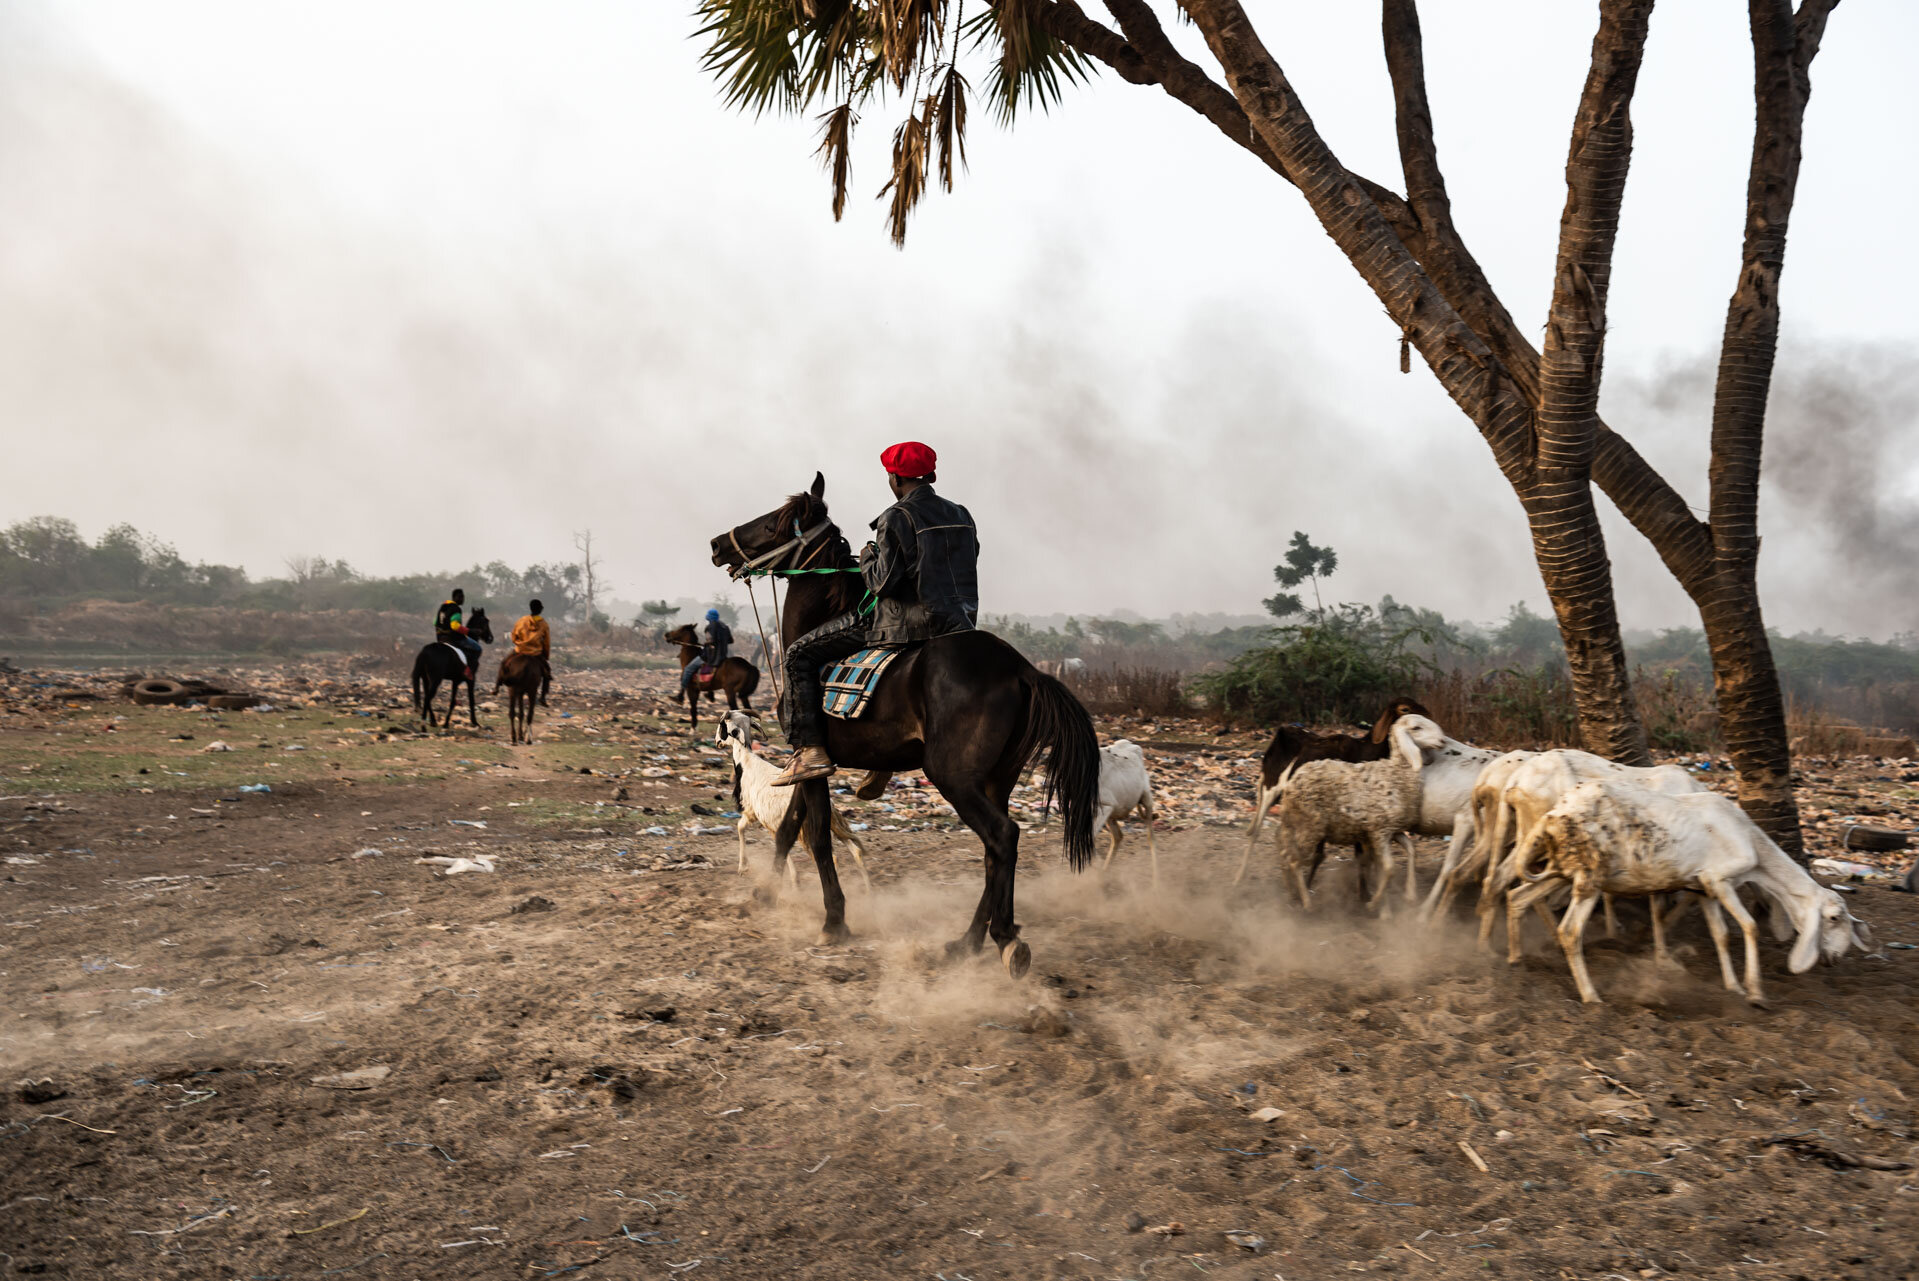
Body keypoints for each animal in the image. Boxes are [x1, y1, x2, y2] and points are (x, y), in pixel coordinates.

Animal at [717, 709, 875, 889]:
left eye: (722, 725)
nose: (717, 742)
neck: (746, 762)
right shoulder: (774, 824)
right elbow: (782, 846)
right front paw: (793, 881)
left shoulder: (751, 811)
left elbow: (740, 827)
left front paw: (743, 868)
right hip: (832, 826)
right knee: (856, 852)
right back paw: (868, 891)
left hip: (808, 832)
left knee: (831, 858)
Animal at [1274, 717, 1443, 916]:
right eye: (1416, 728)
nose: (1442, 741)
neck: (1397, 772)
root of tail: (1291, 783)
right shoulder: (1379, 831)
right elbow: (1389, 868)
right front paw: (1373, 903)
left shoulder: (1392, 830)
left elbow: (1411, 849)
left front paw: (1410, 893)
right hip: (1309, 828)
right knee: (1295, 861)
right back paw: (1307, 903)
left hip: (1295, 824)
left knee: (1285, 855)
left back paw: (1290, 894)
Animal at [1496, 774, 1872, 1004]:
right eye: (1834, 918)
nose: (1834, 959)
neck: (1756, 852)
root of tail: (1553, 815)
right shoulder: (1721, 879)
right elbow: (1749, 927)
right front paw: (1755, 992)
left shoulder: (1704, 888)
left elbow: (1722, 935)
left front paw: (1733, 986)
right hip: (1589, 876)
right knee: (1569, 931)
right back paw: (1590, 995)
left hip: (1563, 870)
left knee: (1517, 897)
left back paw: (1515, 959)